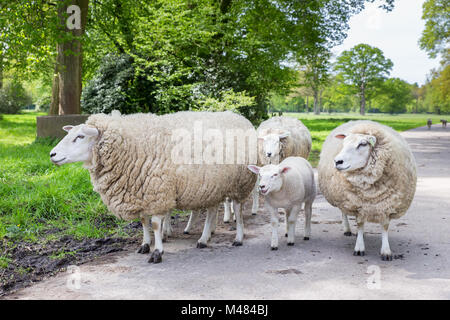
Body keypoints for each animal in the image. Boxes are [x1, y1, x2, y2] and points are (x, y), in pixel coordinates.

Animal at [49, 110, 256, 262]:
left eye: (80, 136)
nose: (52, 154)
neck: (130, 147)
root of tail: (239, 117)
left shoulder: (157, 192)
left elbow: (155, 224)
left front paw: (158, 252)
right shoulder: (141, 193)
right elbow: (143, 222)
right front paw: (145, 245)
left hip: (241, 182)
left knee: (238, 210)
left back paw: (237, 238)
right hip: (212, 185)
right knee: (212, 210)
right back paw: (205, 238)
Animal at [318, 120, 416, 260]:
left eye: (363, 144)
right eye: (344, 143)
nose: (337, 161)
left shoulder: (387, 205)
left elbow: (384, 227)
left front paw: (386, 251)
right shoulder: (358, 205)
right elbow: (360, 224)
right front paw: (359, 248)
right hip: (343, 196)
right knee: (343, 211)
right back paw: (347, 229)